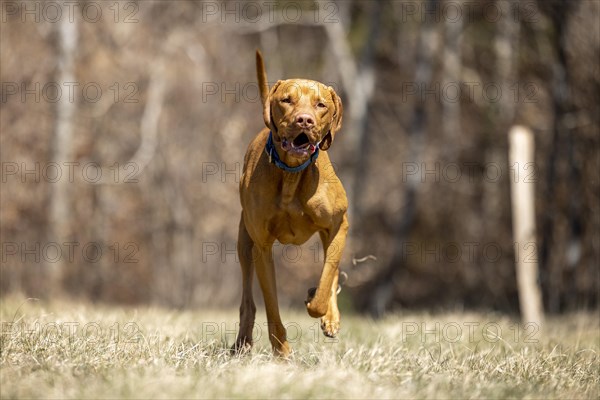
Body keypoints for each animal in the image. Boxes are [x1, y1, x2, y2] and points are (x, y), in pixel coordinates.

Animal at [233, 50, 350, 356]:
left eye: (321, 105)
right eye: (287, 100)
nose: (304, 120)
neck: (292, 174)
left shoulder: (339, 225)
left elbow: (327, 278)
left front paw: (317, 303)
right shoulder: (262, 247)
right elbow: (272, 307)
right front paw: (282, 352)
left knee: (332, 271)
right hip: (244, 242)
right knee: (247, 301)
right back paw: (242, 343)